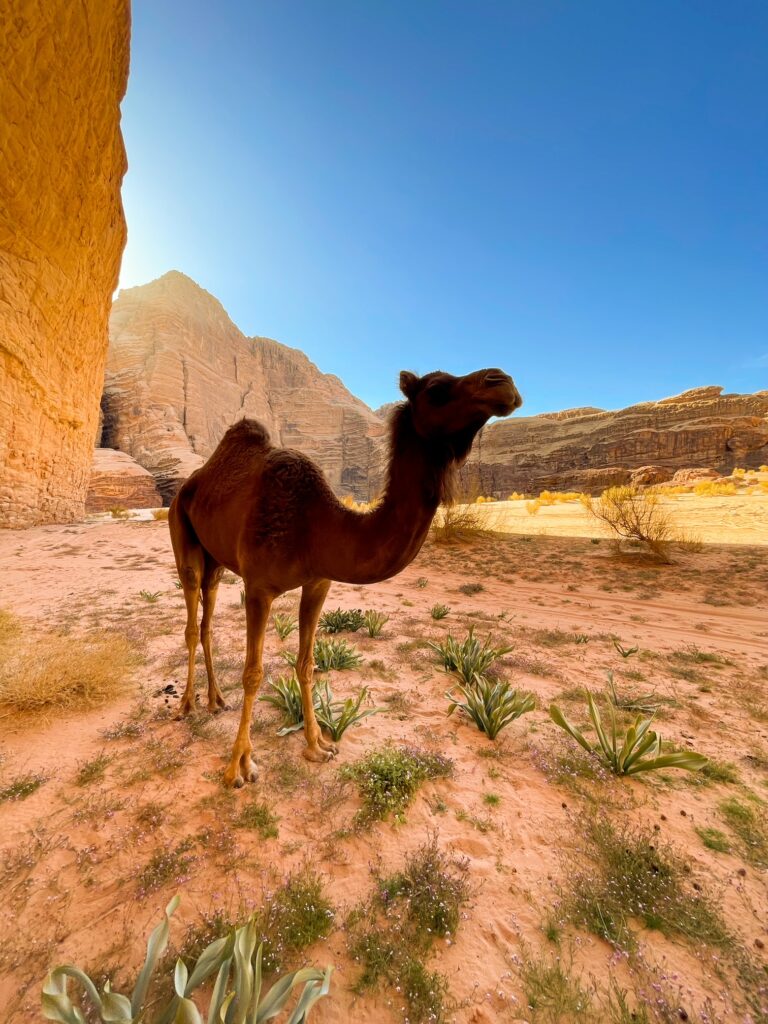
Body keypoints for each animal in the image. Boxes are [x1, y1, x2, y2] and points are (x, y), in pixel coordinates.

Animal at [167, 368, 524, 782]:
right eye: (435, 388)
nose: (503, 382)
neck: (315, 523)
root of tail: (190, 484)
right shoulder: (258, 587)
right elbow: (253, 672)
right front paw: (239, 765)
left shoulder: (318, 583)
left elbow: (307, 665)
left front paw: (317, 746)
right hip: (182, 533)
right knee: (192, 619)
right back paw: (187, 705)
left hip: (216, 560)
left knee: (206, 618)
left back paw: (215, 699)